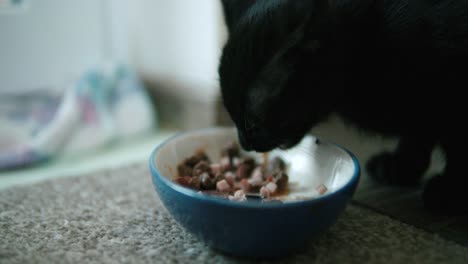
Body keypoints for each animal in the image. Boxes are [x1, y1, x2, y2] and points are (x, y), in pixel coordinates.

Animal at [219, 0, 468, 214]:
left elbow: (456, 147)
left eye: (252, 122)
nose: (244, 142)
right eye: (232, 116)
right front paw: (403, 167)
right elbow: (418, 132)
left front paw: (449, 191)